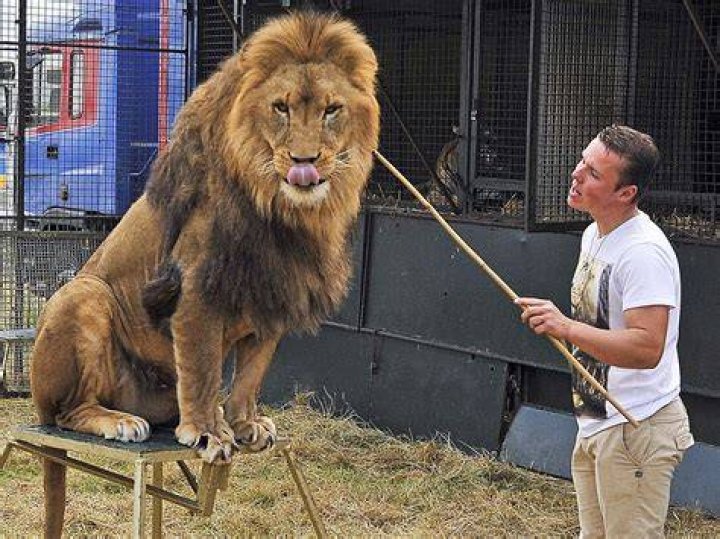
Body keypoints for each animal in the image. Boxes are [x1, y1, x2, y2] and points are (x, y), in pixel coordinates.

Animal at [29, 12, 379, 535]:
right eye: (280, 107)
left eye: (331, 110)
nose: (304, 161)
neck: (281, 209)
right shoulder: (196, 289)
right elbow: (200, 367)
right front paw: (206, 433)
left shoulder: (272, 295)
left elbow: (249, 373)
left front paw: (244, 424)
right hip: (82, 294)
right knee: (65, 412)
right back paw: (118, 421)